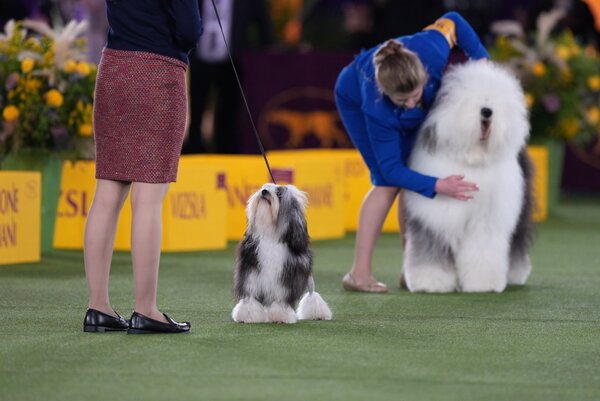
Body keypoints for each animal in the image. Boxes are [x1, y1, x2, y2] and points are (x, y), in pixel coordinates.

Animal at [231, 183, 332, 324]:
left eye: (279, 193)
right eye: (264, 187)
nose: (264, 192)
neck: (270, 236)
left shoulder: (285, 278)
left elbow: (280, 299)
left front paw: (280, 316)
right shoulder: (251, 273)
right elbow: (250, 297)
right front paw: (248, 316)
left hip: (309, 279)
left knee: (312, 294)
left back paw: (318, 314)